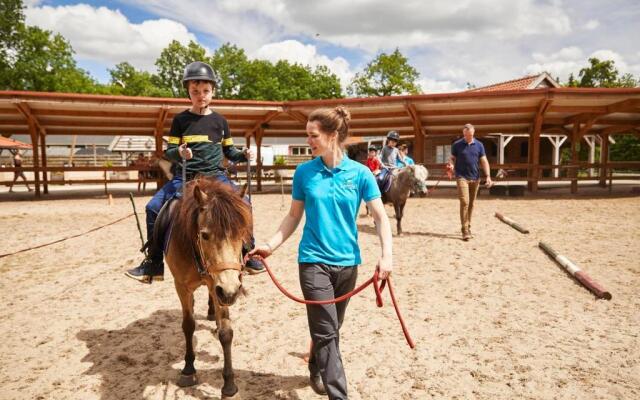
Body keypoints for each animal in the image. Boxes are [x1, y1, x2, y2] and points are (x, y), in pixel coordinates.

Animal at [166, 177, 251, 398]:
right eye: (204, 235)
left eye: (242, 233)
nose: (231, 291)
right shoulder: (182, 287)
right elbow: (188, 325)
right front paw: (188, 369)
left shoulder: (219, 285)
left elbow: (226, 333)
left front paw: (229, 386)